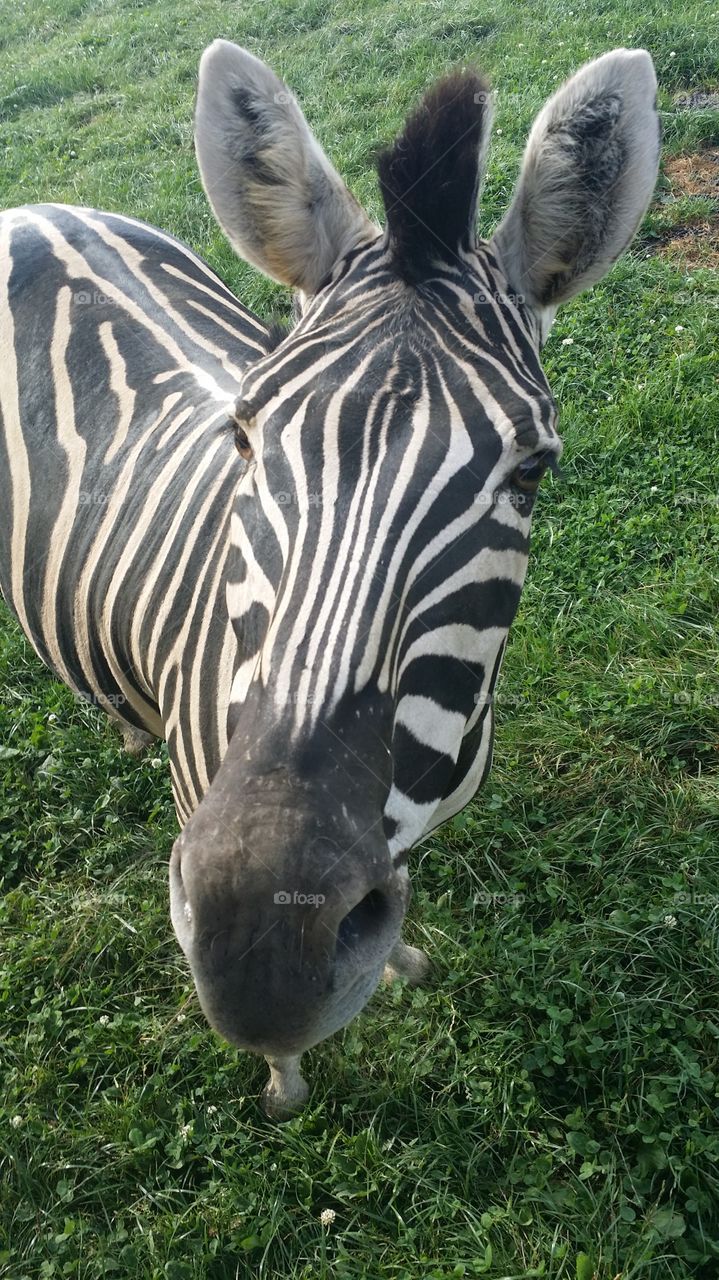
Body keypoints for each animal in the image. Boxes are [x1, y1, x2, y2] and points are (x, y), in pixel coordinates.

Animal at [0, 40, 660, 1116]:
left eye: (529, 471)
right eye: (243, 435)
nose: (263, 948)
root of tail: (33, 209)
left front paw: (398, 961)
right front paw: (285, 1080)